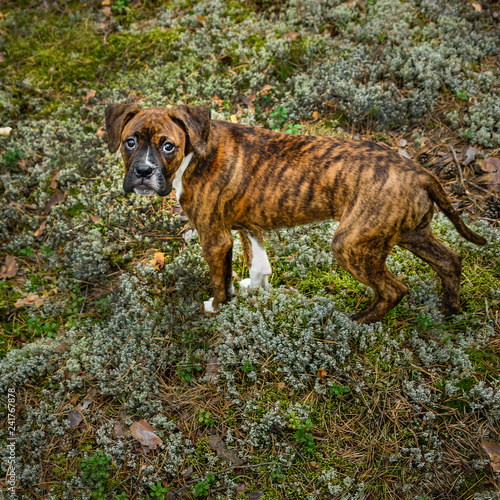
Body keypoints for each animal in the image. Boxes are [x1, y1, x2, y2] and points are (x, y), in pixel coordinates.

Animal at [104, 104, 484, 324]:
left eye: (168, 146)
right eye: (129, 142)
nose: (143, 172)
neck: (195, 151)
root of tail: (420, 173)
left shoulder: (214, 238)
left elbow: (218, 279)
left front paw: (217, 306)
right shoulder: (245, 225)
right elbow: (258, 263)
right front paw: (252, 289)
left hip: (351, 245)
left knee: (393, 289)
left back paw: (358, 322)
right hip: (411, 233)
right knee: (450, 261)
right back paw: (450, 309)